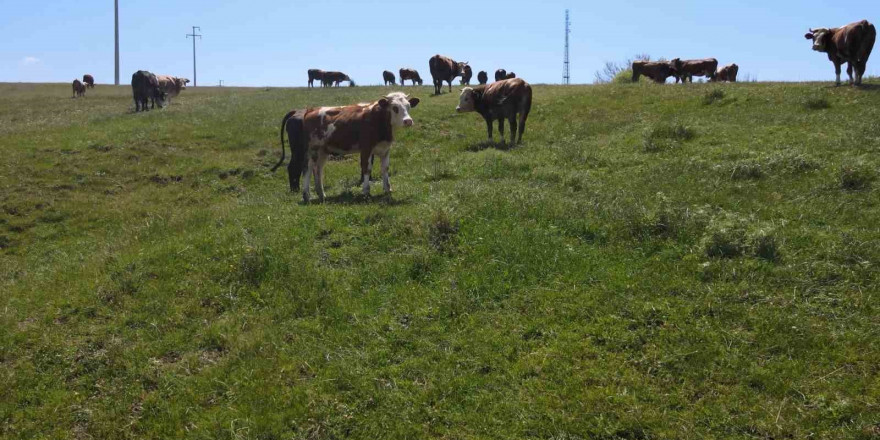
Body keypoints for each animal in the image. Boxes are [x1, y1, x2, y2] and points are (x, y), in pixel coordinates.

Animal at [272, 93, 420, 204]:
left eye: (408, 106)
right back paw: (306, 195)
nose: (408, 121)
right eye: (395, 107)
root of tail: (310, 110)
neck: (379, 119)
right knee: (307, 169)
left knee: (318, 170)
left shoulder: (385, 149)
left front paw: (388, 189)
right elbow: (366, 169)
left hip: (322, 151)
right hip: (311, 149)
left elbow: (385, 169)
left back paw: (321, 195)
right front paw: (366, 192)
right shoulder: (366, 148)